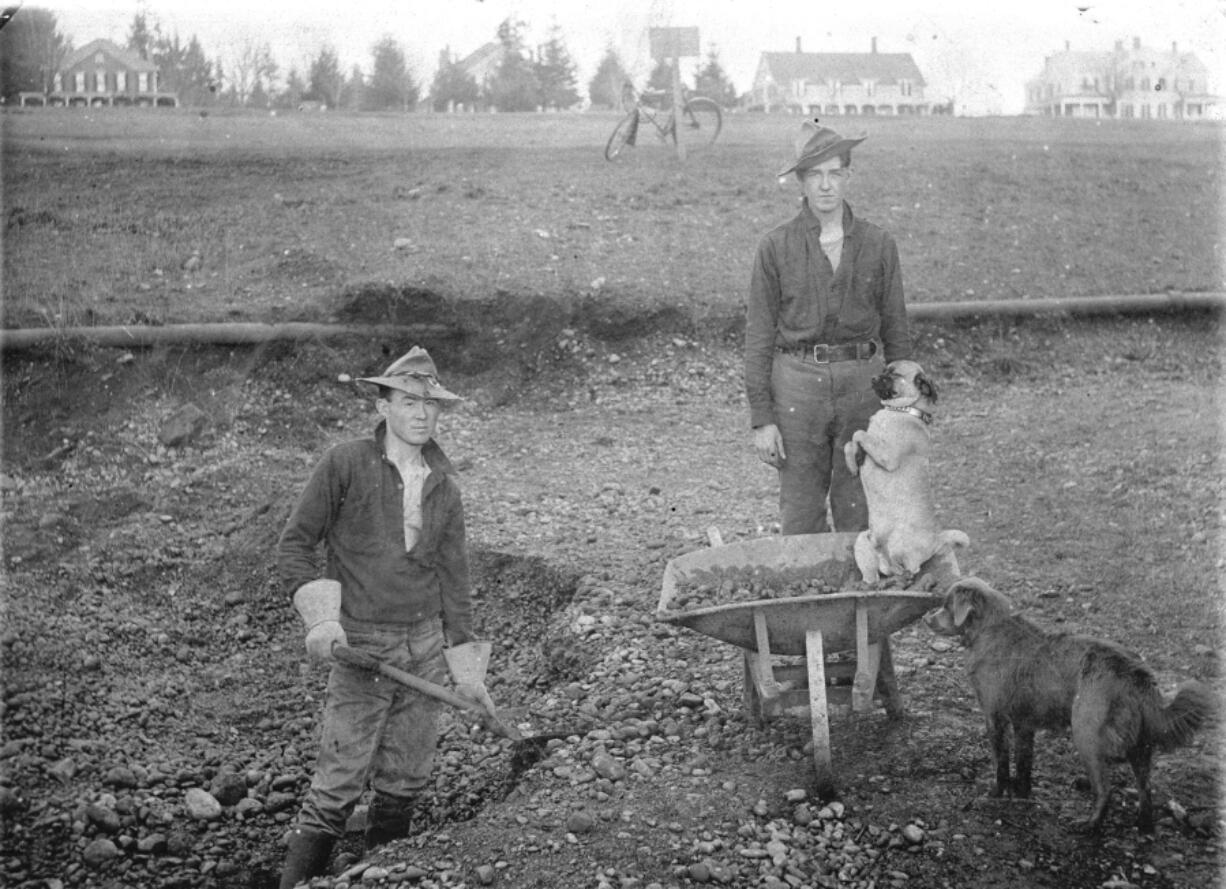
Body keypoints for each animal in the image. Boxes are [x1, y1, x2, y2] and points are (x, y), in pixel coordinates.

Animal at [921, 576, 1211, 833]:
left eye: (946, 606)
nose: (926, 619)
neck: (989, 630)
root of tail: (1135, 671)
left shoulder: (995, 718)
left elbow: (1001, 763)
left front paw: (995, 794)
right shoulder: (1024, 724)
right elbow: (1023, 765)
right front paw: (1022, 796)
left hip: (1086, 734)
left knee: (1106, 789)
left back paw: (1090, 825)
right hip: (1141, 745)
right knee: (1145, 788)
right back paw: (1144, 826)